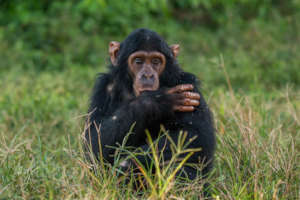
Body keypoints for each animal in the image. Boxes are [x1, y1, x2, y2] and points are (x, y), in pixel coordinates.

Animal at [85, 28, 216, 181]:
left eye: (155, 61)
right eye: (138, 61)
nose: (147, 75)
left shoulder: (187, 82)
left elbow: (194, 134)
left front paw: (132, 161)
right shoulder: (103, 87)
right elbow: (94, 142)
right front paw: (156, 100)